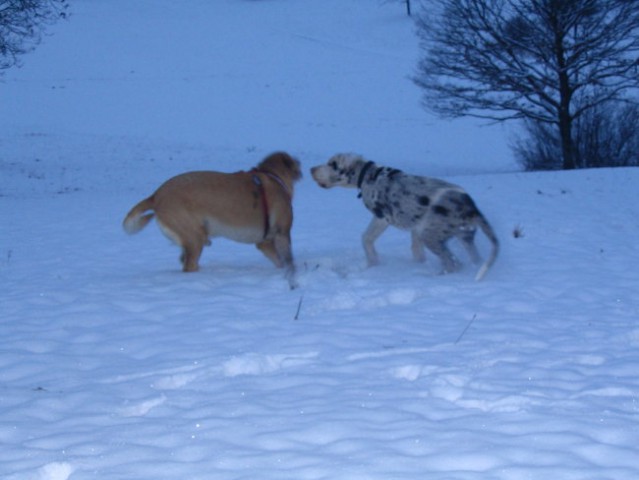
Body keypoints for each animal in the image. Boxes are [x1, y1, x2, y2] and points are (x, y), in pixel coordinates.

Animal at [122, 152, 302, 286]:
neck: (274, 177)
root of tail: (156, 195)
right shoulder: (282, 234)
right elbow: (287, 260)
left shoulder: (264, 243)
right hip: (195, 238)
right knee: (189, 265)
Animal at [310, 154, 500, 282]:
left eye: (332, 164)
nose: (311, 169)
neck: (369, 175)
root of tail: (470, 207)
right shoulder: (415, 227)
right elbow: (416, 250)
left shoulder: (381, 218)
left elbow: (366, 238)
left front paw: (373, 264)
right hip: (464, 238)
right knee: (474, 259)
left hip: (431, 235)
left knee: (453, 263)